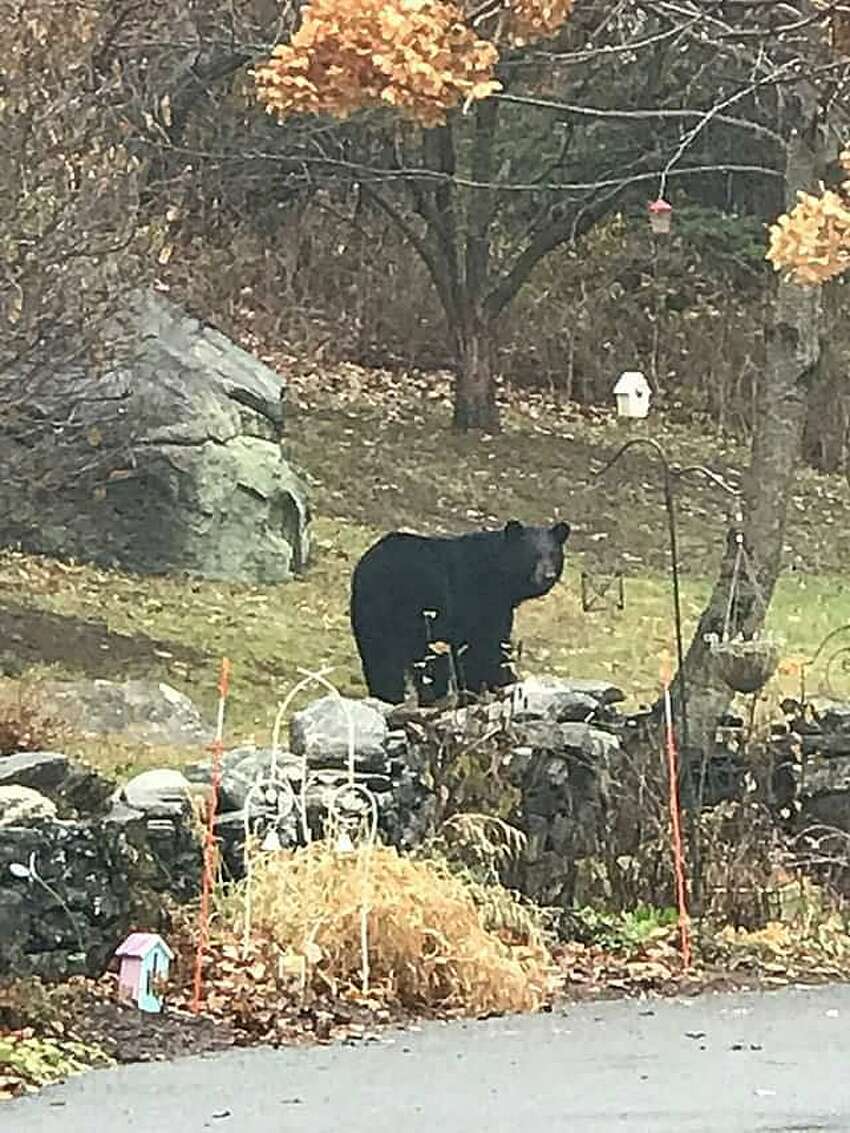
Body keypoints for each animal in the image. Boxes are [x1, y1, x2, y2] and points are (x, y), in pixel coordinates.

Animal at [353, 518, 573, 702]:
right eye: (533, 555)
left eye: (554, 554)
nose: (548, 576)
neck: (499, 577)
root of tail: (368, 560)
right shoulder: (475, 600)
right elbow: (483, 646)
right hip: (392, 610)